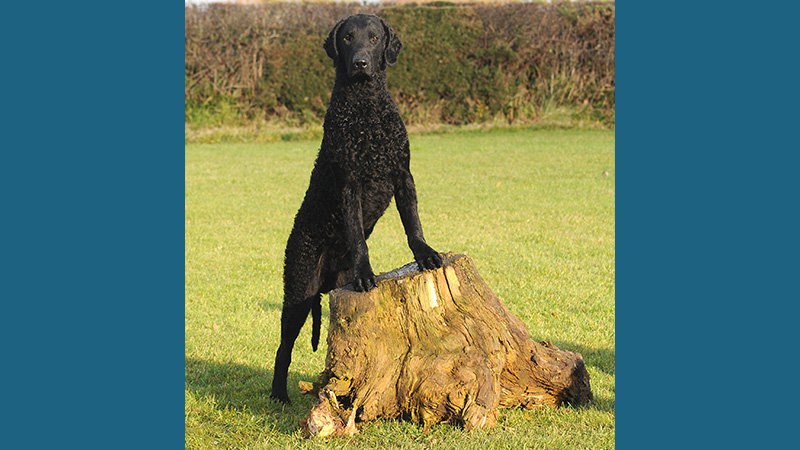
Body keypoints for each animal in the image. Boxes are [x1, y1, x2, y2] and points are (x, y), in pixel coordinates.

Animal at [270, 14, 444, 402]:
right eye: (348, 38)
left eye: (375, 38)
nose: (362, 63)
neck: (366, 111)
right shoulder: (350, 185)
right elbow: (357, 236)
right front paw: (366, 273)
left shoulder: (401, 173)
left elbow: (413, 223)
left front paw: (425, 254)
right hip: (298, 289)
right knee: (282, 348)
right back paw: (278, 395)